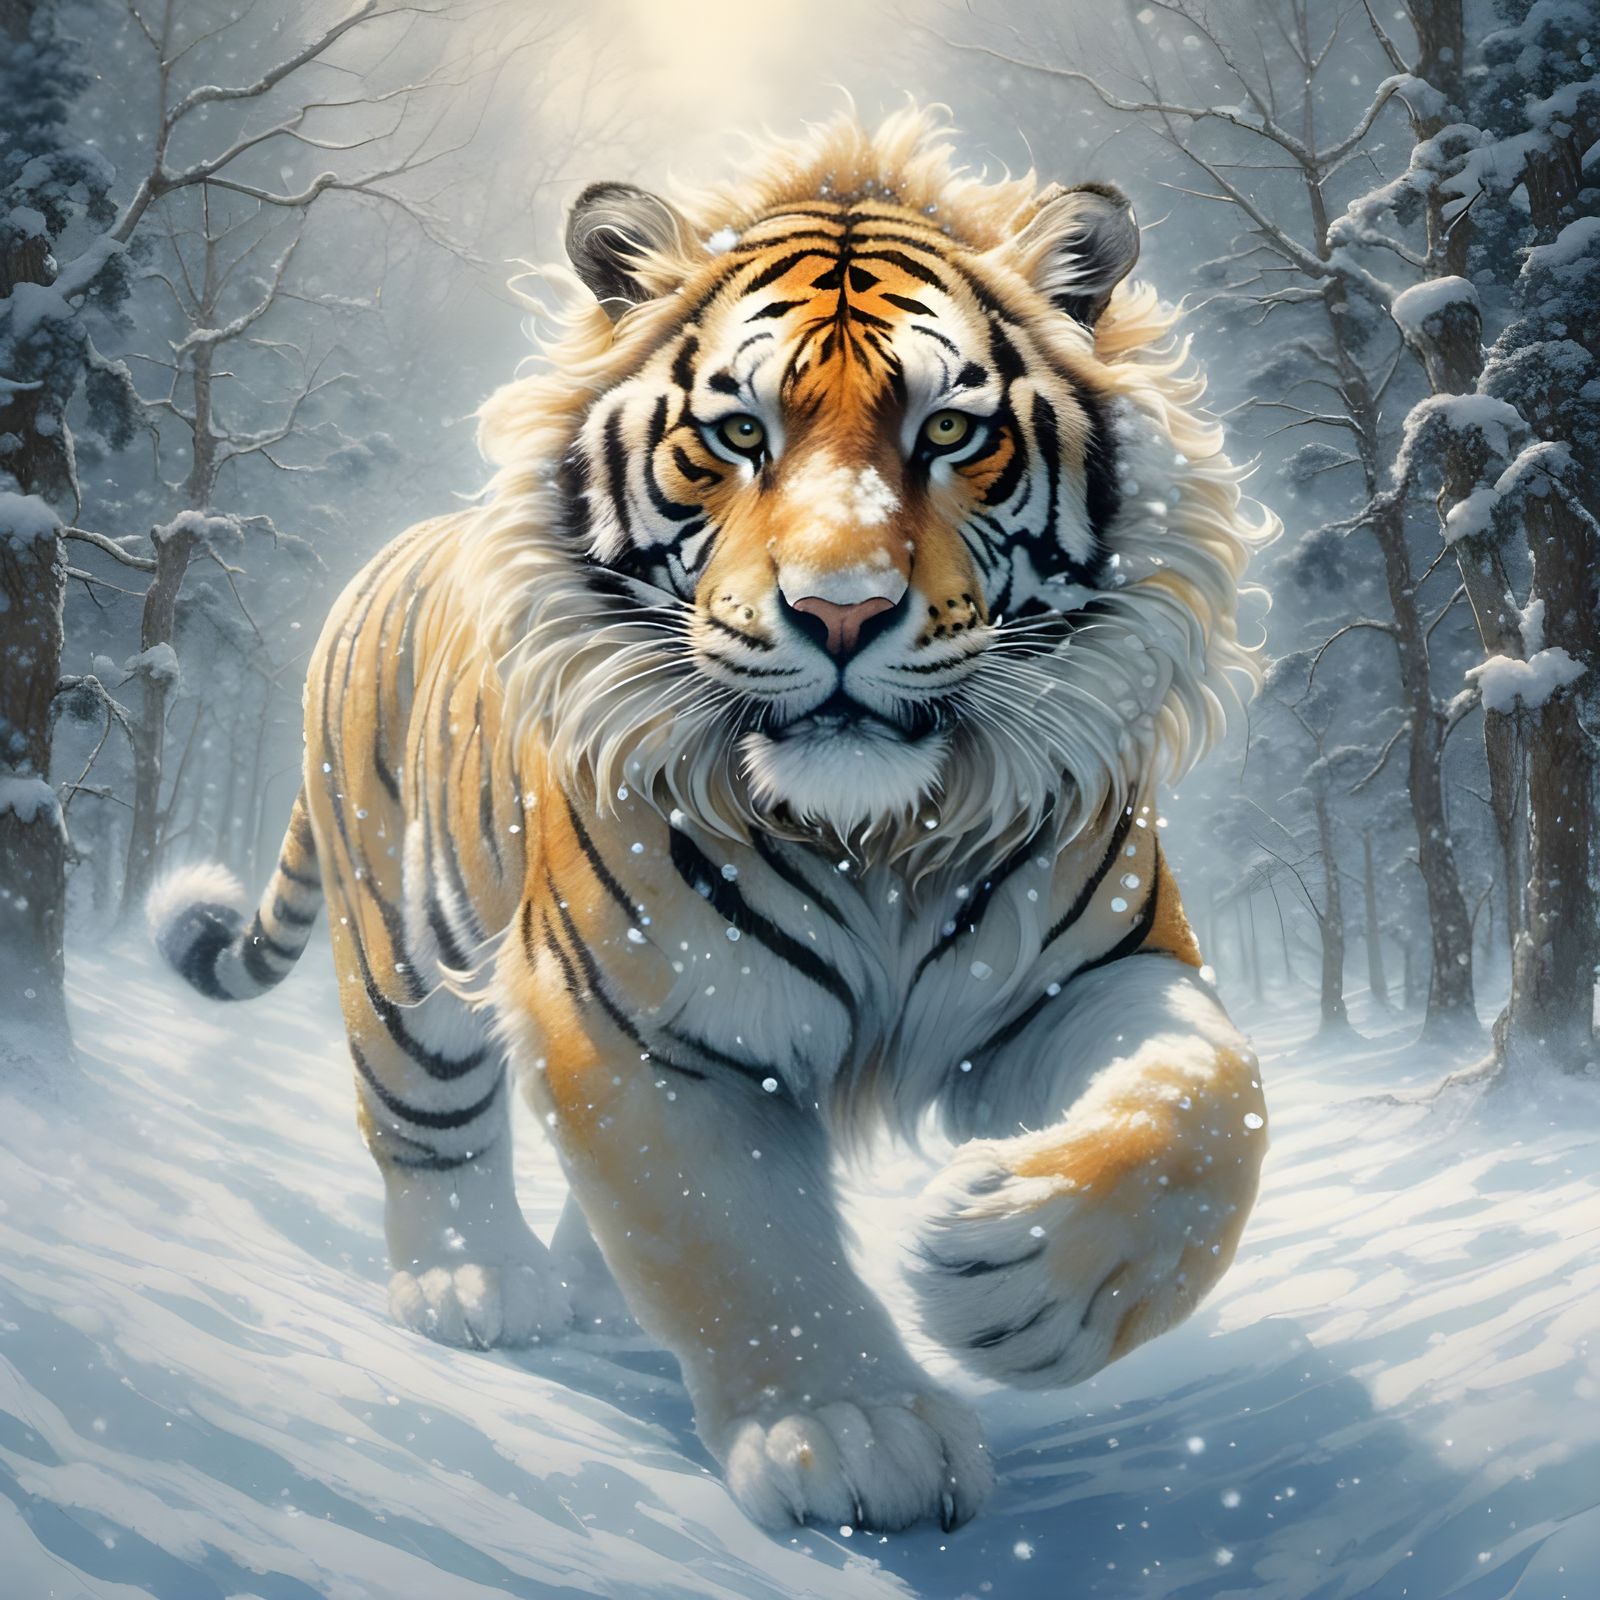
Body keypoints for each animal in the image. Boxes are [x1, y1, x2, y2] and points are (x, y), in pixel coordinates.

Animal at [150, 108, 1274, 1534]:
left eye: (950, 431)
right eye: (739, 432)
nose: (841, 609)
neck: (878, 839)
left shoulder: (1098, 968)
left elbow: (1211, 1102)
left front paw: (1021, 1273)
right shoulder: (625, 1016)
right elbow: (737, 1235)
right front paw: (849, 1431)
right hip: (402, 949)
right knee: (421, 1113)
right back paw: (472, 1285)